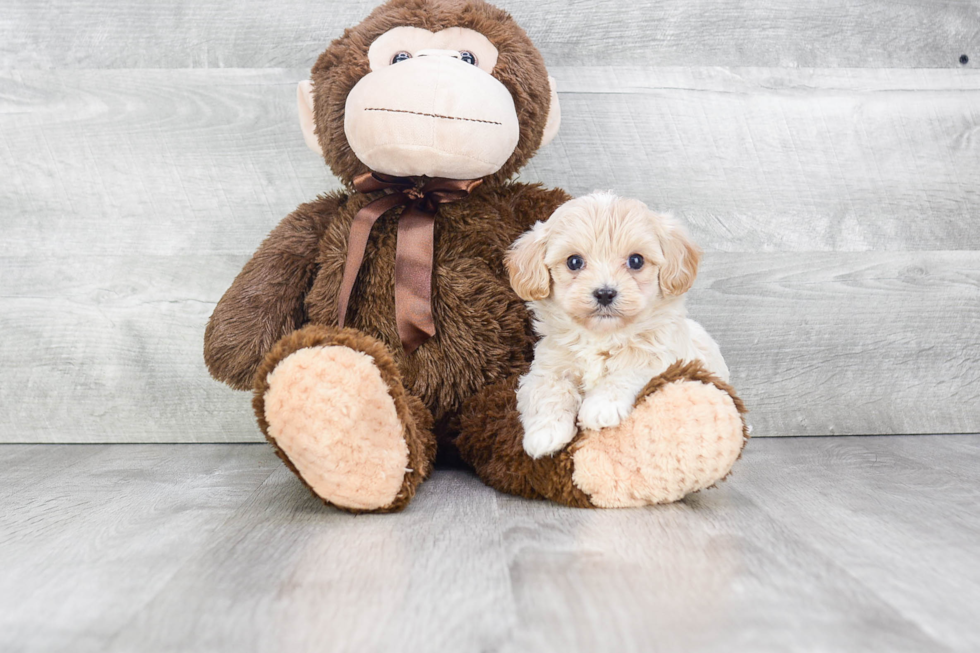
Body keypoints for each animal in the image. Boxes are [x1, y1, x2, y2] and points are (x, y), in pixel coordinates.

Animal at [506, 192, 728, 458]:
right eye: (574, 262)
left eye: (636, 260)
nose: (604, 293)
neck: (603, 336)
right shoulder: (548, 365)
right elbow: (548, 389)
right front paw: (545, 434)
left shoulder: (663, 357)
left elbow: (629, 369)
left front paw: (601, 407)